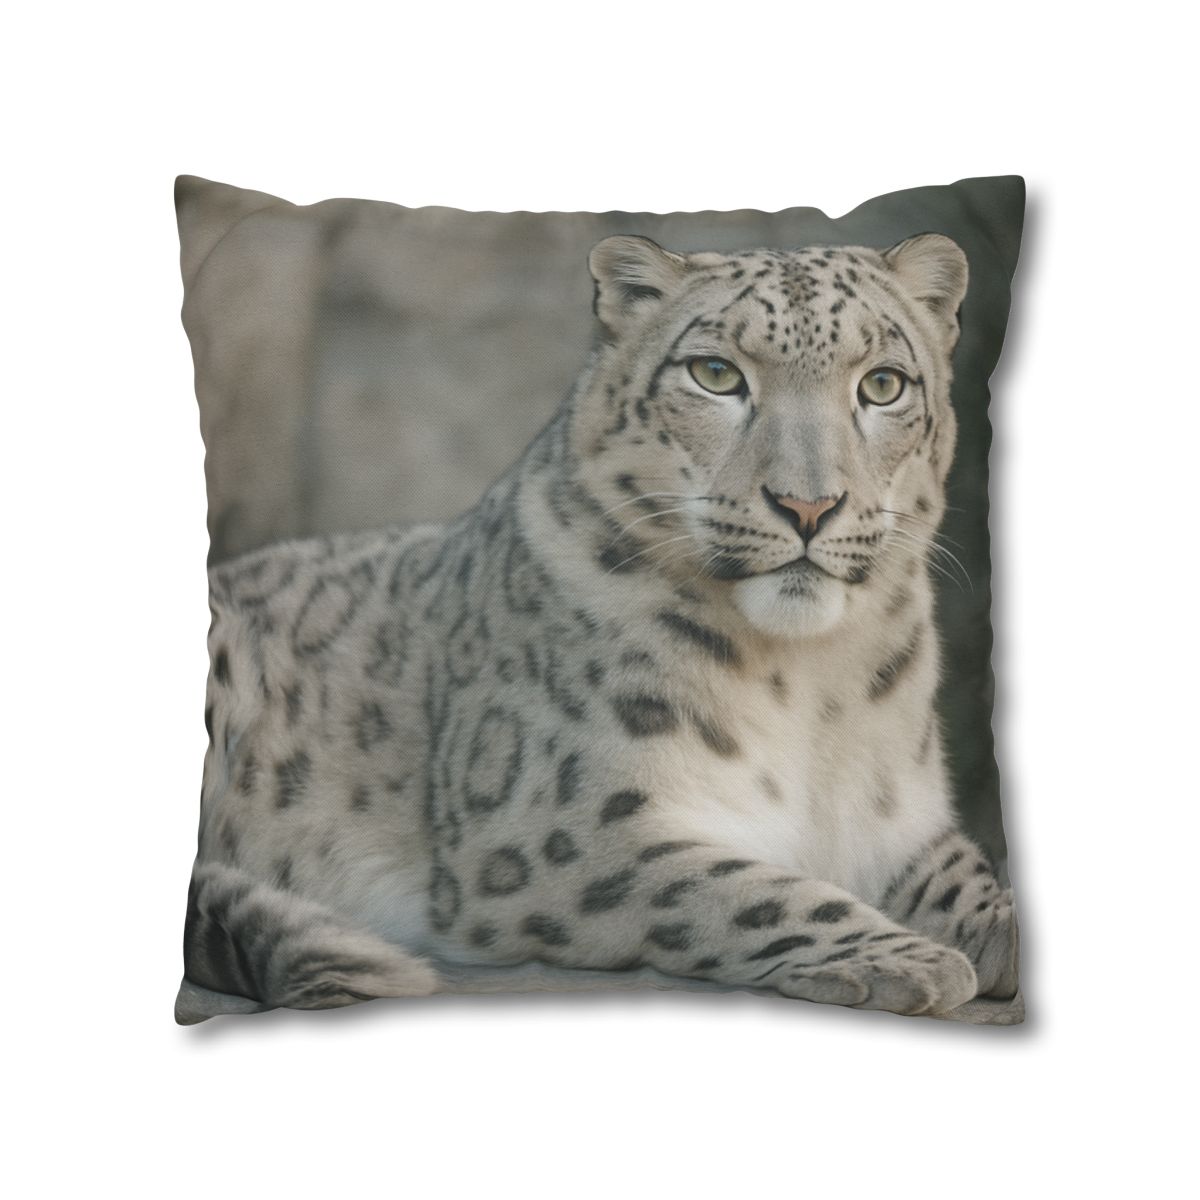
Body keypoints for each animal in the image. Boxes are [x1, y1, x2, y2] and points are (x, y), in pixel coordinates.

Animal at [180, 231, 1018, 1022]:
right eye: (716, 374)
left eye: (883, 384)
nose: (808, 506)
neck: (809, 679)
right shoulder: (564, 826)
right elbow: (741, 890)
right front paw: (907, 960)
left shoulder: (898, 820)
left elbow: (967, 874)